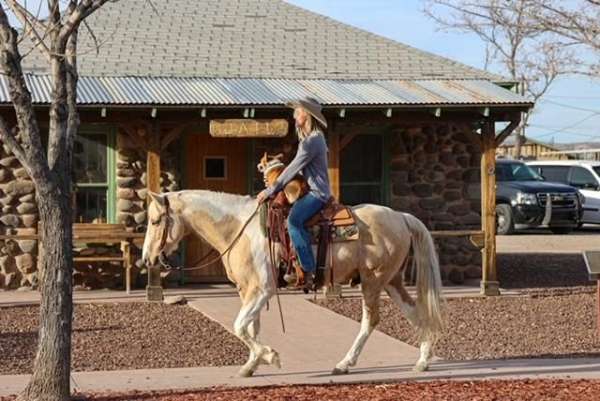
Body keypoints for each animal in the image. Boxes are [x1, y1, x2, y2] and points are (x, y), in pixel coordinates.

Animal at [143, 189, 446, 376]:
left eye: (156, 220)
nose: (147, 257)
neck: (239, 228)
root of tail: (400, 217)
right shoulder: (248, 291)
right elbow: (250, 327)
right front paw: (251, 365)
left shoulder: (261, 290)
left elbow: (240, 326)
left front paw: (270, 356)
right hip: (391, 281)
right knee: (415, 312)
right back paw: (422, 361)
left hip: (373, 281)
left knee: (370, 321)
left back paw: (344, 363)